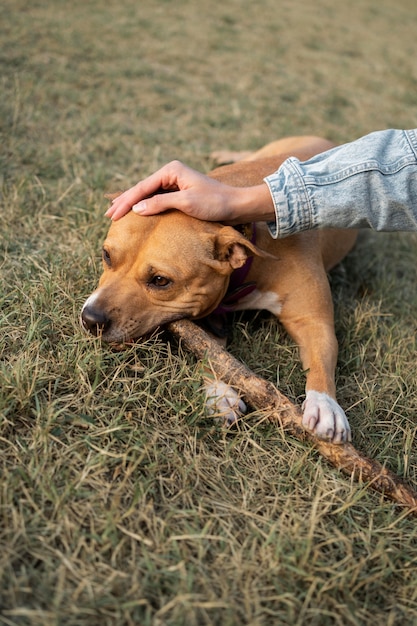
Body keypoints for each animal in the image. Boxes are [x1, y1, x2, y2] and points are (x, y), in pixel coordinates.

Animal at [82, 135, 358, 444]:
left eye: (160, 281)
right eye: (106, 255)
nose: (90, 319)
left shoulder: (313, 321)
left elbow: (320, 360)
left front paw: (324, 405)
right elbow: (214, 354)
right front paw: (220, 393)